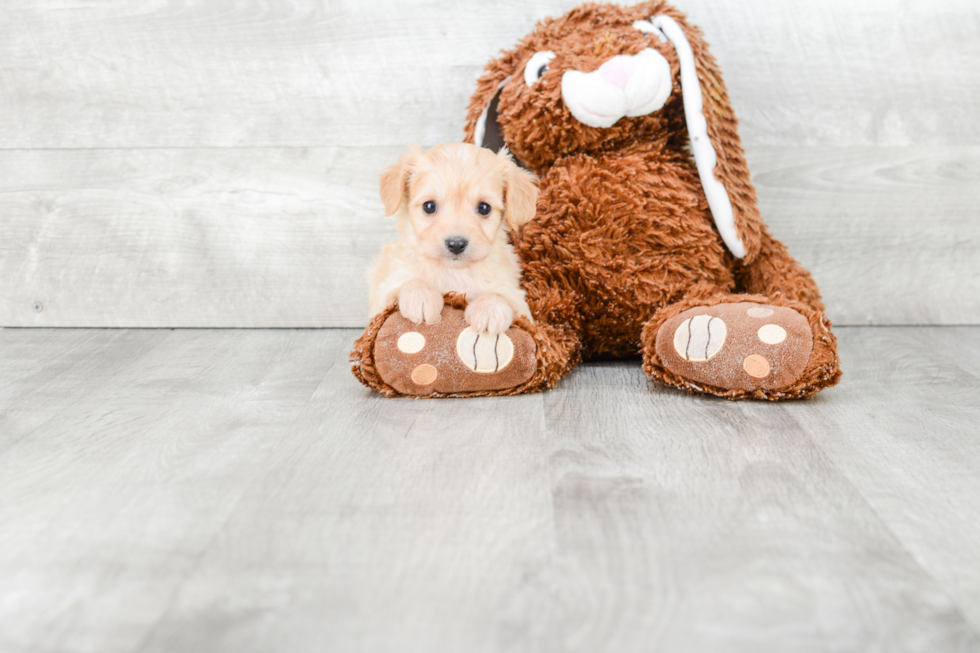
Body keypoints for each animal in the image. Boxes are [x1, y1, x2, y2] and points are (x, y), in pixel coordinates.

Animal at [370, 143, 540, 336]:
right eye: (429, 206)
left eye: (484, 208)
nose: (456, 244)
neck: (454, 272)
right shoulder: (385, 294)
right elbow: (408, 282)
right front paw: (420, 296)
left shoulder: (516, 299)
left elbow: (500, 295)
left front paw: (489, 308)